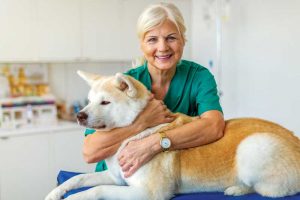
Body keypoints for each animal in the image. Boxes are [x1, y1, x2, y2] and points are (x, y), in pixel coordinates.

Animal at [44, 71, 300, 199]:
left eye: (105, 102)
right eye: (88, 101)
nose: (79, 116)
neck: (131, 135)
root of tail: (295, 140)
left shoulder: (147, 193)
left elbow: (95, 191)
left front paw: (74, 198)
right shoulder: (117, 178)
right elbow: (76, 180)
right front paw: (55, 193)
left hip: (253, 147)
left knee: (273, 191)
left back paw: (237, 188)